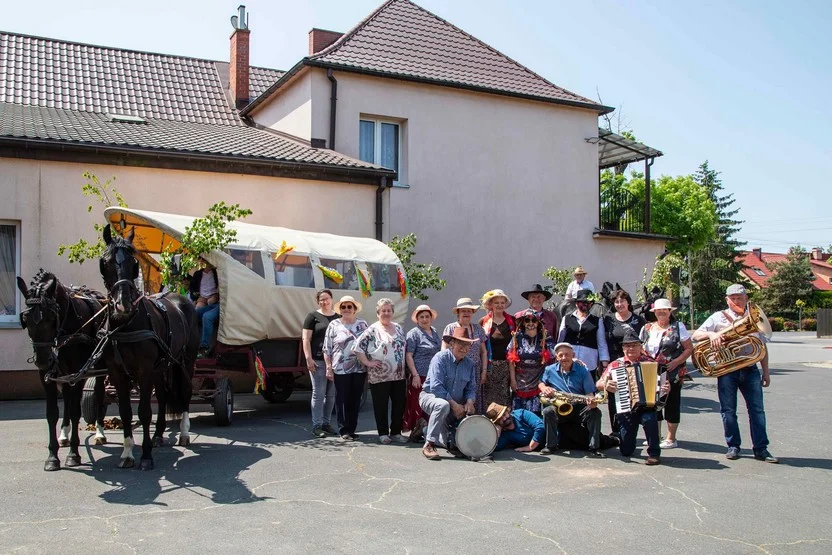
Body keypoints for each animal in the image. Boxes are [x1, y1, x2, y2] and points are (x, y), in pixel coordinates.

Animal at [16, 272, 108, 472]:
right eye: (25, 319)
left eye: (51, 317)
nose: (43, 360)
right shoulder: (47, 376)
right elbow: (52, 413)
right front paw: (52, 457)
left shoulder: (79, 372)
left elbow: (75, 412)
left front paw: (74, 455)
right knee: (66, 397)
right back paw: (64, 434)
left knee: (98, 394)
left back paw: (99, 432)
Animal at [98, 226, 198, 470]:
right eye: (105, 262)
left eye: (134, 263)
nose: (123, 304)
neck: (126, 324)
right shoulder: (117, 372)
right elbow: (126, 412)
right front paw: (127, 454)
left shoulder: (144, 370)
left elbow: (143, 412)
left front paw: (145, 455)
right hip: (162, 367)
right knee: (162, 397)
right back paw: (159, 434)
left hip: (185, 361)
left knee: (185, 392)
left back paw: (183, 434)